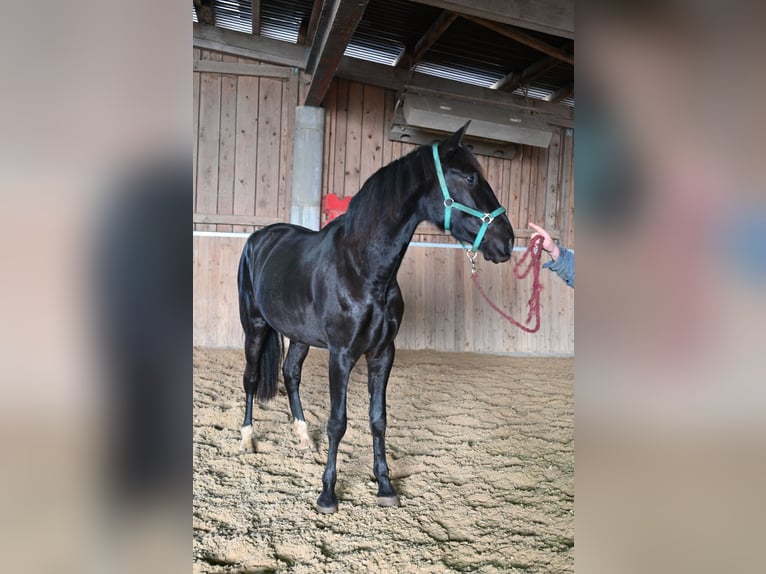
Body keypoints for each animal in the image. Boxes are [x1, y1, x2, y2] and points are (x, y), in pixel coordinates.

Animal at [236, 122, 515, 514]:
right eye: (471, 177)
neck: (361, 269)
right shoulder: (341, 356)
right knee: (249, 380)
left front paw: (384, 486)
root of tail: (259, 239)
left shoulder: (383, 354)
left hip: (300, 336)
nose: (507, 241)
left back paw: (304, 437)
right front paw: (327, 494)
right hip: (255, 327)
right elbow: (338, 422)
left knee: (290, 375)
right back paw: (246, 440)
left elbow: (378, 419)